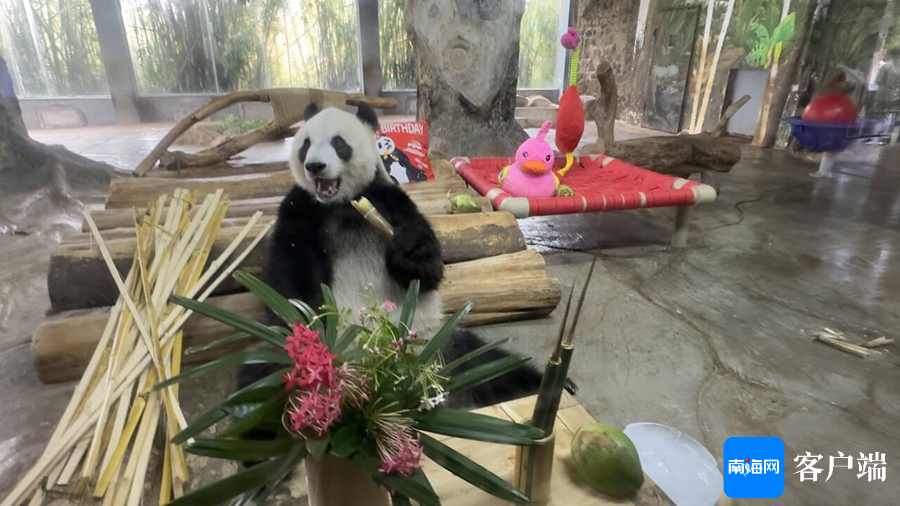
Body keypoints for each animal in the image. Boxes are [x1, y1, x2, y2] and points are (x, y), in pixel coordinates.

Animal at [239, 102, 545, 408]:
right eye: (305, 144)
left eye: (339, 143)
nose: (314, 166)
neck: (341, 203)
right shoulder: (300, 208)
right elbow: (289, 274)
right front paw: (314, 322)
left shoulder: (388, 199)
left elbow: (428, 273)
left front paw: (411, 252)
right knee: (258, 373)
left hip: (440, 341)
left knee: (490, 363)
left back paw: (538, 384)